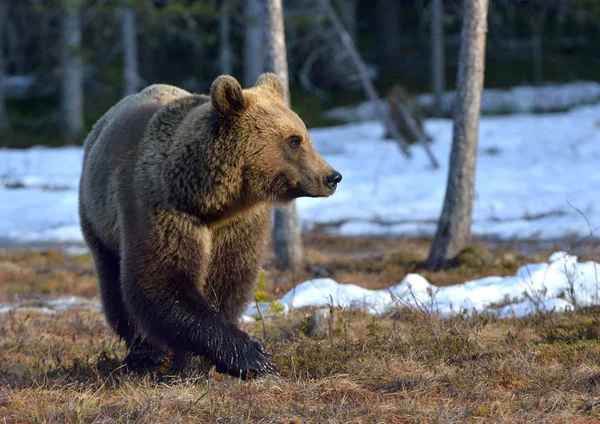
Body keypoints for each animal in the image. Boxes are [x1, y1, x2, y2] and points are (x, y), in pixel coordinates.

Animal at [78, 73, 342, 378]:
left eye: (306, 137)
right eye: (294, 141)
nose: (332, 177)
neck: (210, 201)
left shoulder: (241, 224)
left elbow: (226, 281)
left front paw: (201, 362)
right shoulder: (161, 209)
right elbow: (161, 281)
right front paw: (254, 356)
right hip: (98, 219)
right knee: (113, 286)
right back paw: (146, 353)